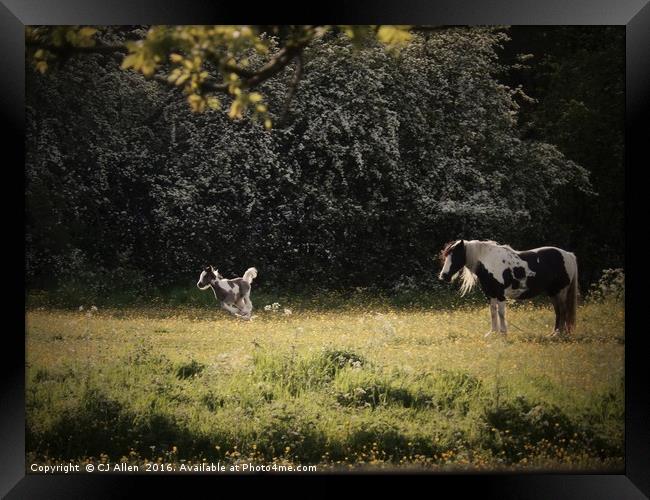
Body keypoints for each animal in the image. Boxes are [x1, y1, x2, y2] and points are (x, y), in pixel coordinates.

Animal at [436, 241, 576, 336]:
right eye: (446, 255)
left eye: (455, 256)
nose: (443, 276)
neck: (489, 262)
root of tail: (568, 255)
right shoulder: (490, 294)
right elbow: (493, 312)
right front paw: (493, 333)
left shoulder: (500, 294)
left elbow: (501, 313)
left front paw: (503, 333)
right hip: (553, 292)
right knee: (558, 312)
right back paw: (554, 333)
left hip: (560, 291)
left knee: (562, 311)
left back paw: (558, 334)